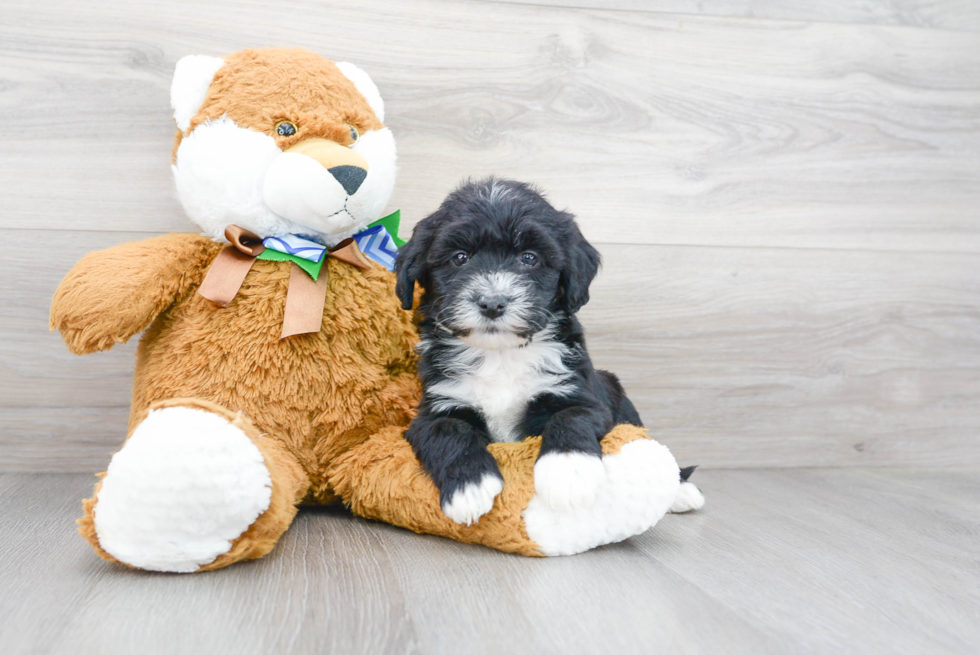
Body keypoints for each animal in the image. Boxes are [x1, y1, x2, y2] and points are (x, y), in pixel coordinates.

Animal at [394, 181, 700, 528]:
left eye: (529, 258)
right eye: (460, 258)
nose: (492, 303)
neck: (501, 355)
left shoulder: (579, 393)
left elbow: (571, 417)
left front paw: (568, 474)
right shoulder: (436, 407)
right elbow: (448, 430)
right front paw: (469, 487)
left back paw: (681, 491)